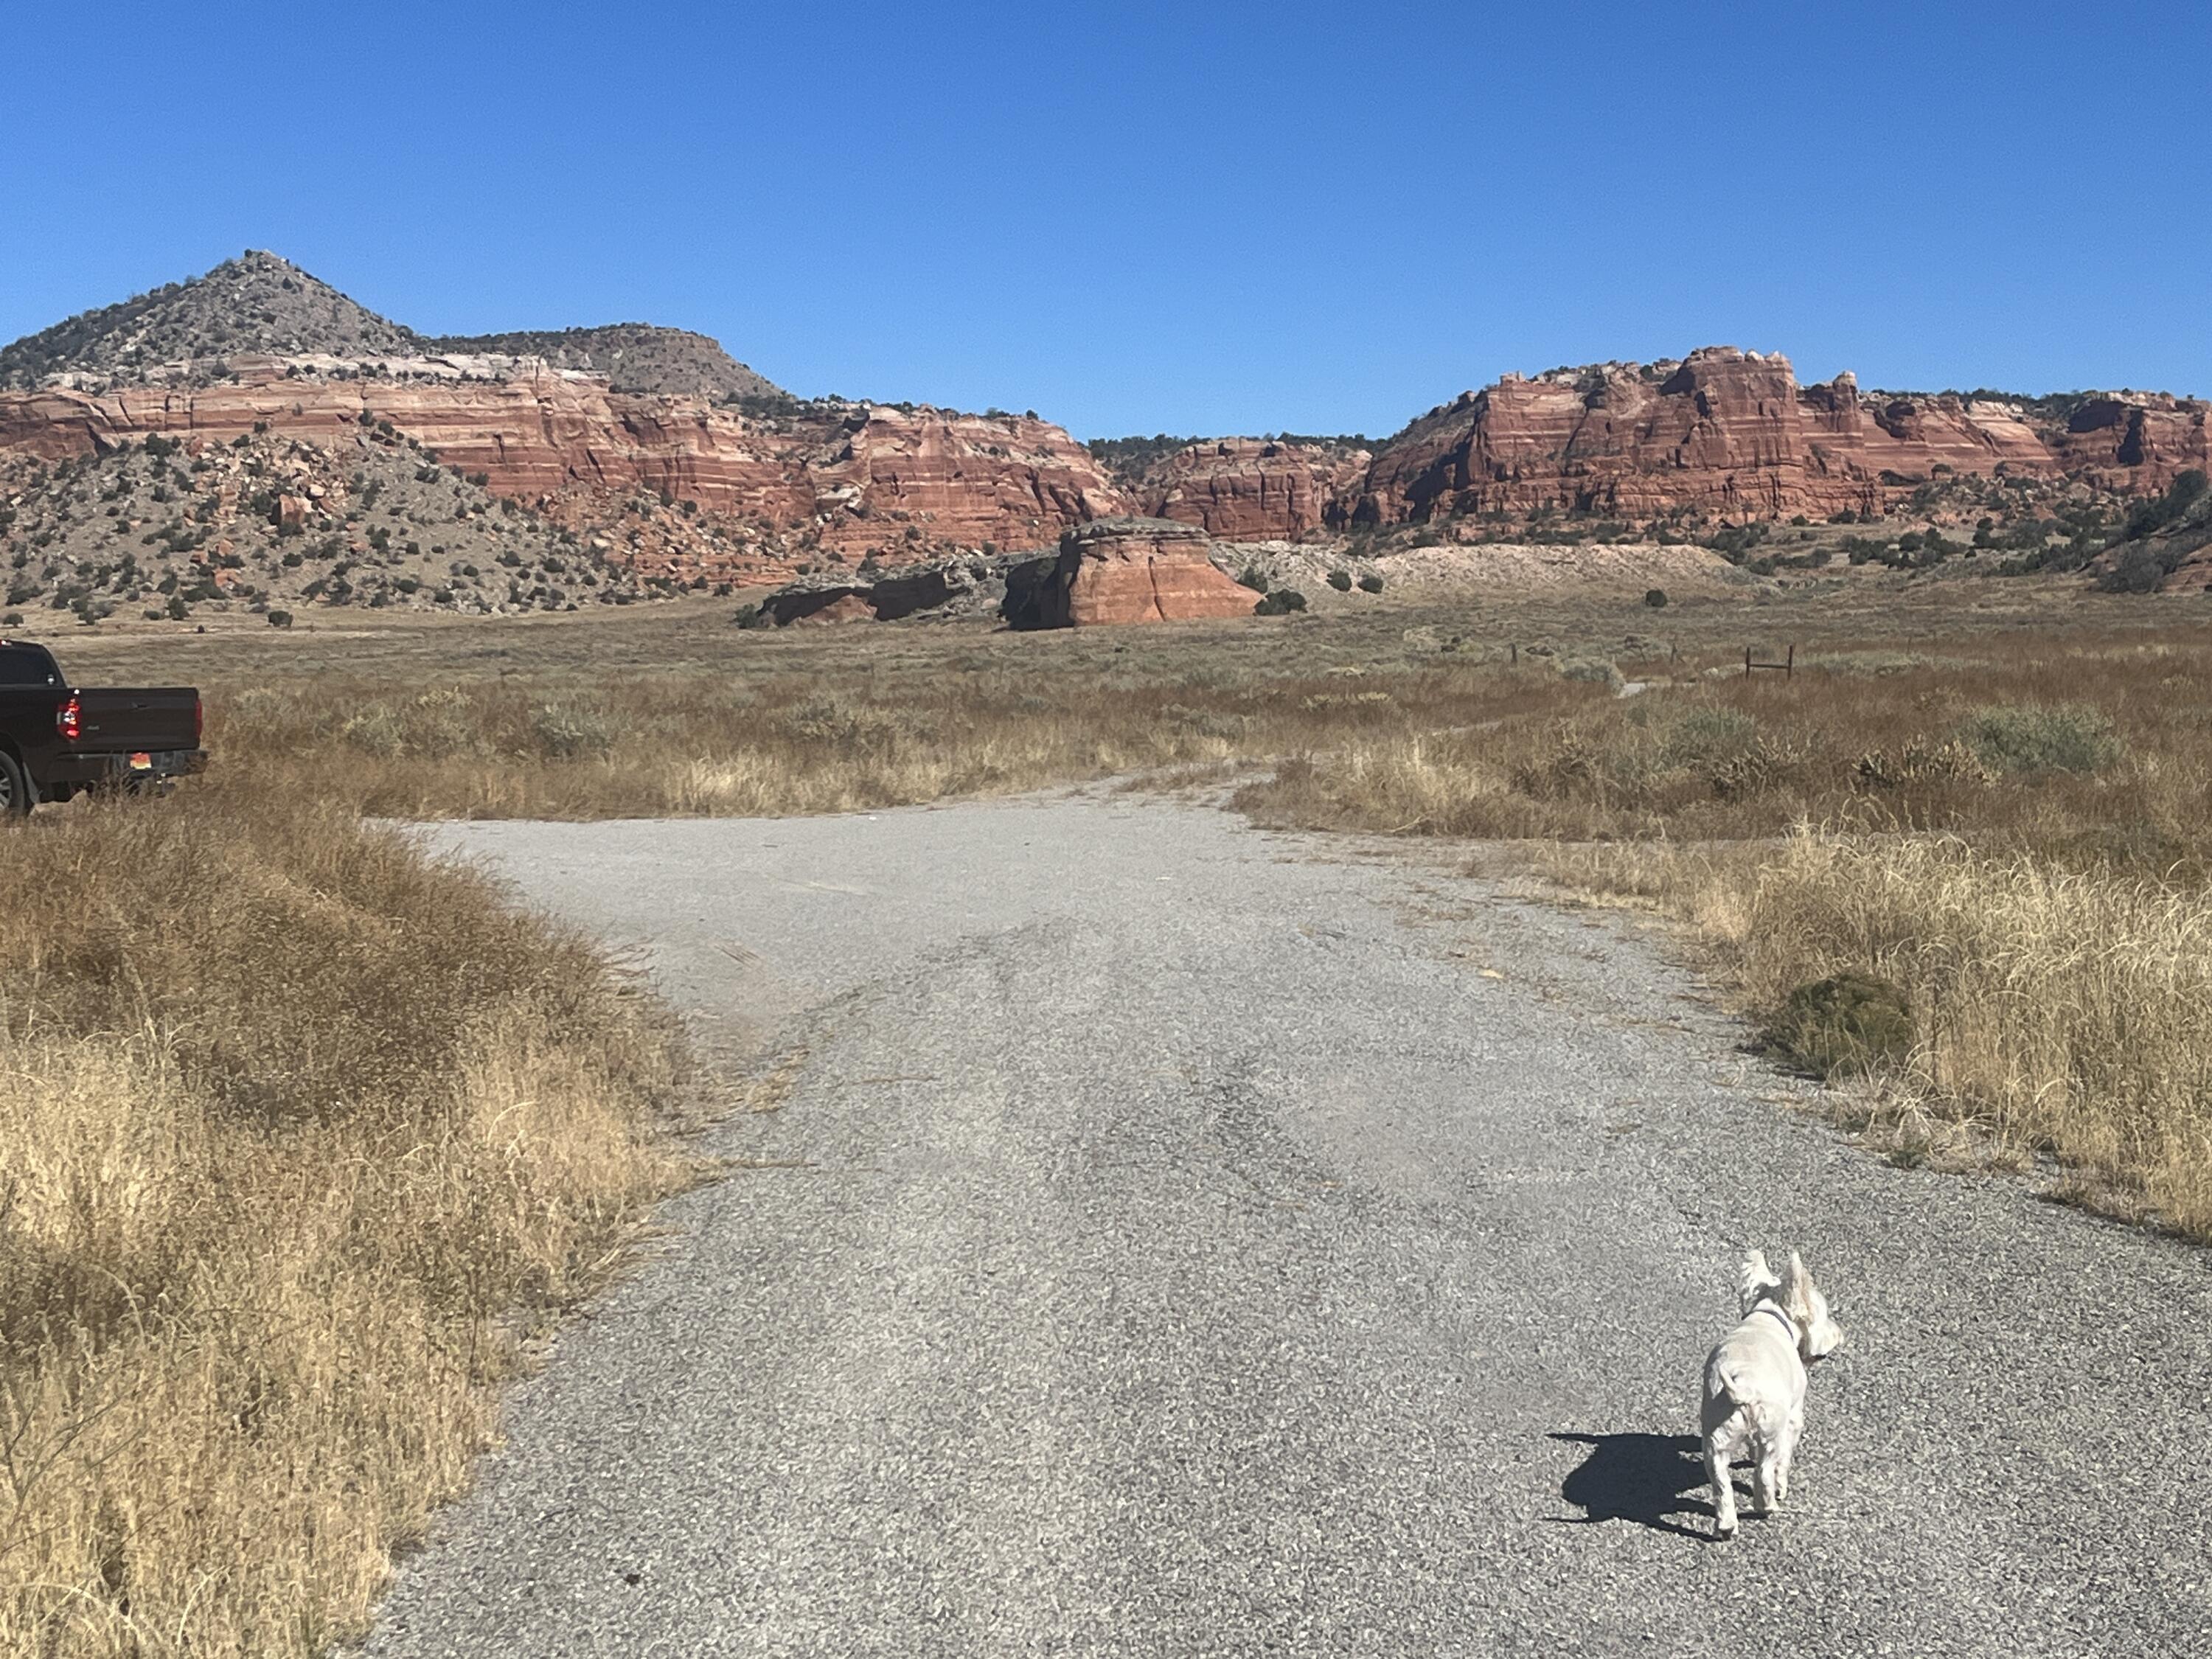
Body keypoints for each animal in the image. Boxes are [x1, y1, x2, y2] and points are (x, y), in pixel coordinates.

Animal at [1699, 1256, 1840, 1540]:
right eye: (1824, 1315)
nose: (1839, 1333)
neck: (1767, 1318)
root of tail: (1743, 1387)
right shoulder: (1794, 1416)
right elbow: (1784, 1459)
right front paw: (1782, 1486)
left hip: (1716, 1440)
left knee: (1721, 1484)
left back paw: (1726, 1526)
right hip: (1771, 1433)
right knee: (1765, 1471)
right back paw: (1769, 1505)